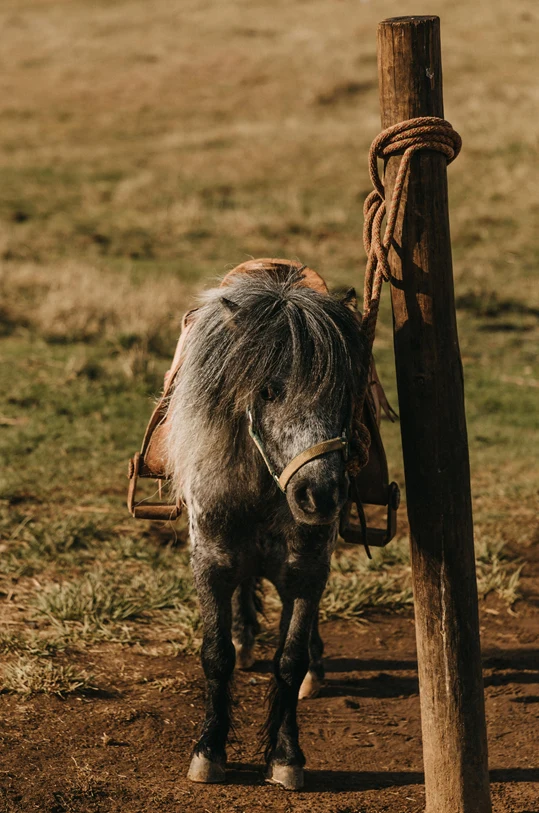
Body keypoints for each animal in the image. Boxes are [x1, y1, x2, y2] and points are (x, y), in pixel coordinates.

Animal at [165, 260, 366, 790]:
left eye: (345, 394)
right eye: (269, 391)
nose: (320, 495)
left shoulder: (308, 570)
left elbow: (291, 660)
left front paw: (285, 755)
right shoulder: (211, 563)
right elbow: (215, 656)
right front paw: (209, 749)